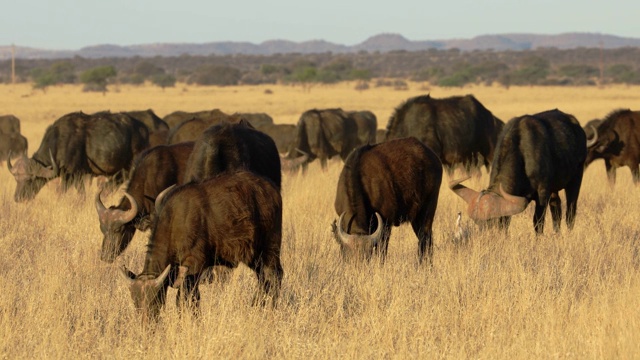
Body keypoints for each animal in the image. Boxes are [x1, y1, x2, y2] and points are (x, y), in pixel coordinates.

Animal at [7, 112, 149, 201]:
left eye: (30, 179)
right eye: (16, 179)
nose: (17, 198)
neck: (60, 143)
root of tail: (143, 129)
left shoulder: (74, 175)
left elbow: (69, 193)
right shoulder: (72, 176)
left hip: (131, 166)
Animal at [121, 169, 282, 320]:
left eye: (155, 299)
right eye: (135, 301)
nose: (146, 323)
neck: (175, 221)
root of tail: (272, 190)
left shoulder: (194, 266)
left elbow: (186, 299)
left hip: (269, 249)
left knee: (274, 277)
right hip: (254, 258)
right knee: (263, 280)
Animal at [450, 109, 584, 233]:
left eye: (492, 221)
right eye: (477, 222)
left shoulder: (543, 192)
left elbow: (538, 222)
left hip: (576, 178)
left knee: (570, 211)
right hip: (554, 189)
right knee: (556, 208)